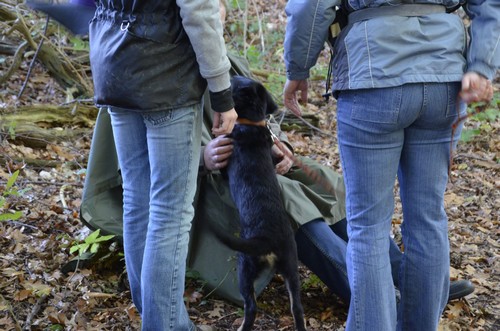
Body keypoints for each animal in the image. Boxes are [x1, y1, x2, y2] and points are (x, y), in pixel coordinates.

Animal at [210, 76, 304, 331]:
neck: (250, 123)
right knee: (297, 308)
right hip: (291, 266)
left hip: (245, 265)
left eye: (233, 81)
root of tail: (270, 239)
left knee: (251, 307)